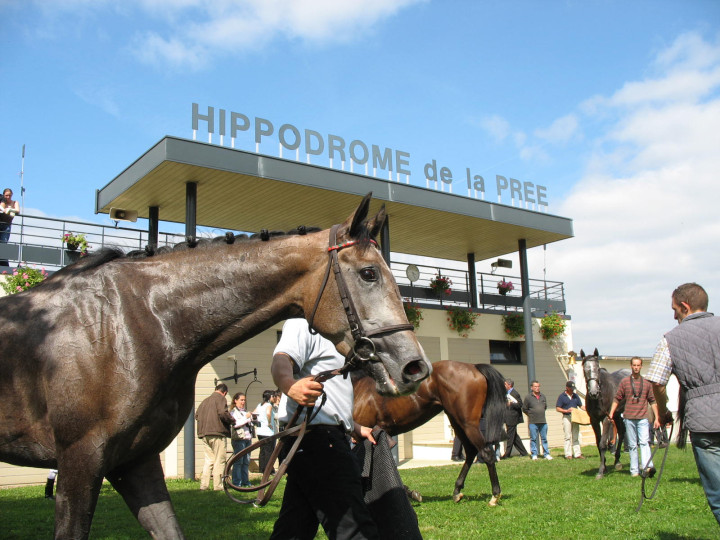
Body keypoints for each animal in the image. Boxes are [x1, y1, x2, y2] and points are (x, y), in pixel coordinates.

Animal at [354, 360, 506, 504]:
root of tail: (473, 367)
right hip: (456, 421)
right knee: (470, 451)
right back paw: (457, 491)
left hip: (468, 423)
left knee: (486, 453)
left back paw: (494, 495)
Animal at [584, 348, 628, 478]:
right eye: (585, 369)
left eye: (597, 368)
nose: (593, 392)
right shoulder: (593, 420)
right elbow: (598, 443)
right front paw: (604, 468)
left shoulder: (606, 418)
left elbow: (603, 443)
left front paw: (600, 471)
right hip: (617, 415)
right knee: (621, 432)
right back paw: (617, 461)